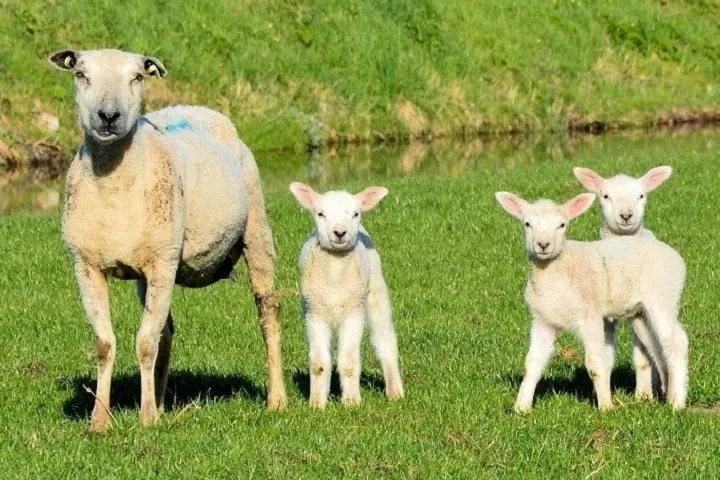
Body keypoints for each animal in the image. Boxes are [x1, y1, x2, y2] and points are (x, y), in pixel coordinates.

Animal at [48, 48, 287, 432]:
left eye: (136, 77)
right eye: (81, 74)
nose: (108, 116)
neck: (113, 190)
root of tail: (196, 108)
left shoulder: (162, 262)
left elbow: (144, 343)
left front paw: (145, 420)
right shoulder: (86, 265)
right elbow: (106, 344)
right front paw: (101, 421)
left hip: (256, 231)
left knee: (268, 313)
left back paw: (277, 400)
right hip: (152, 268)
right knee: (166, 332)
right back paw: (159, 403)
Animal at [289, 182, 404, 408]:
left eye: (355, 213)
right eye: (320, 213)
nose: (340, 232)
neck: (335, 276)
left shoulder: (354, 314)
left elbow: (349, 362)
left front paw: (352, 401)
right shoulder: (314, 315)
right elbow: (319, 364)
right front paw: (317, 403)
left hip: (375, 291)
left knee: (384, 339)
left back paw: (395, 390)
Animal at [494, 191, 688, 412]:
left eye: (562, 225)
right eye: (527, 224)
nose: (543, 245)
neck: (555, 271)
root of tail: (674, 255)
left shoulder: (590, 317)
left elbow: (596, 365)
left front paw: (606, 406)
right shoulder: (543, 320)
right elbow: (532, 364)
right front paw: (521, 407)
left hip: (663, 296)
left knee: (676, 342)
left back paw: (677, 402)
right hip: (641, 314)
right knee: (656, 345)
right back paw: (666, 392)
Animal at [574, 166, 673, 400]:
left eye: (641, 195)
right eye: (605, 196)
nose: (626, 215)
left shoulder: (639, 312)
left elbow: (643, 358)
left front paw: (643, 395)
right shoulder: (604, 318)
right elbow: (605, 358)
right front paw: (599, 392)